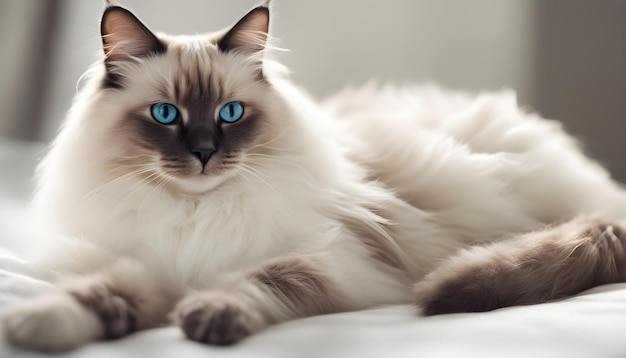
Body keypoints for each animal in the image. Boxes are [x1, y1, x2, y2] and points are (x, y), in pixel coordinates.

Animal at [1, 0, 624, 352]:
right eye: (165, 115)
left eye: (231, 113)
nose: (203, 154)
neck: (195, 216)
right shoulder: (146, 268)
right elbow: (96, 293)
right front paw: (38, 325)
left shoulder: (330, 262)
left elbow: (261, 279)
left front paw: (209, 316)